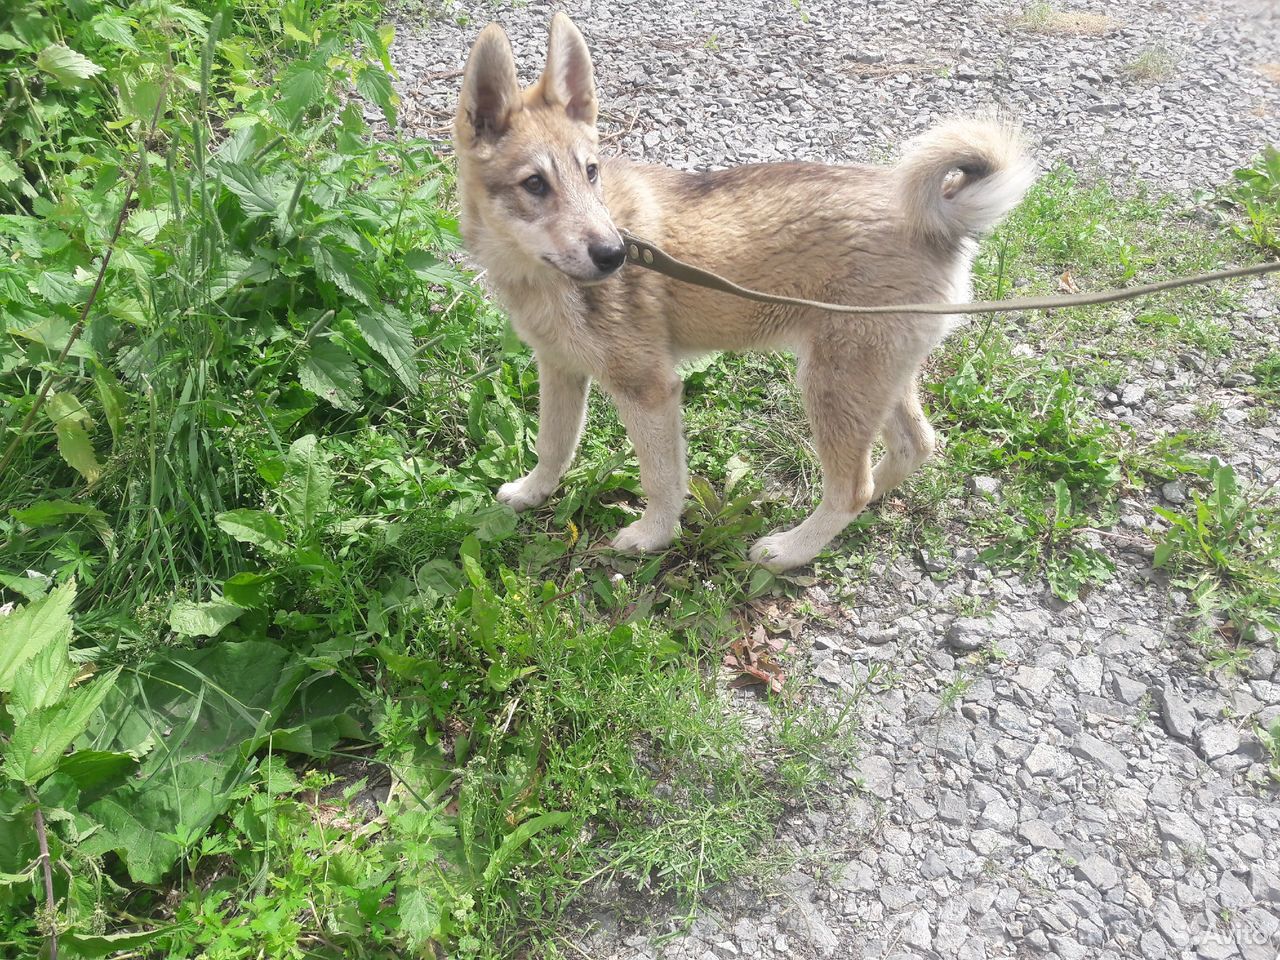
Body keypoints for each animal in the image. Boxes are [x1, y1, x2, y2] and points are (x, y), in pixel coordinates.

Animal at [450, 13, 1029, 570]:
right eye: (534, 184)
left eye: (591, 172)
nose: (614, 254)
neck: (540, 276)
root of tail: (939, 219)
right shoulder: (560, 369)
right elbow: (553, 444)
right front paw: (533, 493)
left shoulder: (649, 389)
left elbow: (662, 480)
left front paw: (653, 537)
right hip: (875, 378)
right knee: (912, 448)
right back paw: (867, 508)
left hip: (832, 382)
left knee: (851, 487)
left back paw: (791, 549)